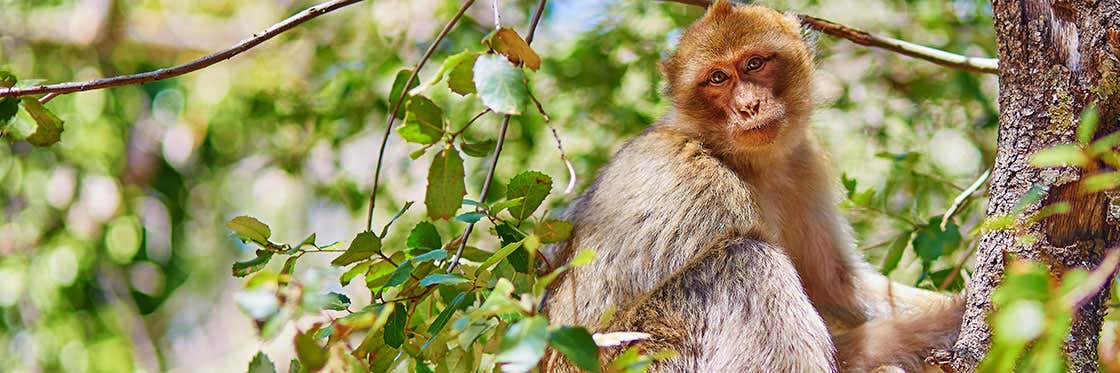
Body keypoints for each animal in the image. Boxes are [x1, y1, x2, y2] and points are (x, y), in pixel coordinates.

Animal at [539, 1, 963, 369]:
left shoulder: (803, 162)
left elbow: (838, 291)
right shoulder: (704, 186)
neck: (744, 161)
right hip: (640, 353)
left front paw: (960, 310)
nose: (749, 107)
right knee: (743, 258)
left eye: (754, 63)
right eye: (718, 78)